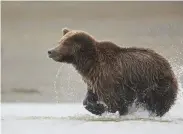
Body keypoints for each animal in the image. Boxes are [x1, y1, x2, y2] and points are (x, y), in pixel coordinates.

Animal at [48, 27, 178, 116]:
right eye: (59, 41)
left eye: (64, 43)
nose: (50, 51)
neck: (88, 63)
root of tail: (168, 65)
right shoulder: (93, 80)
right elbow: (89, 98)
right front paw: (97, 108)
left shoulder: (108, 76)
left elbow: (113, 101)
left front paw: (109, 110)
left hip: (156, 83)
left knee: (157, 103)